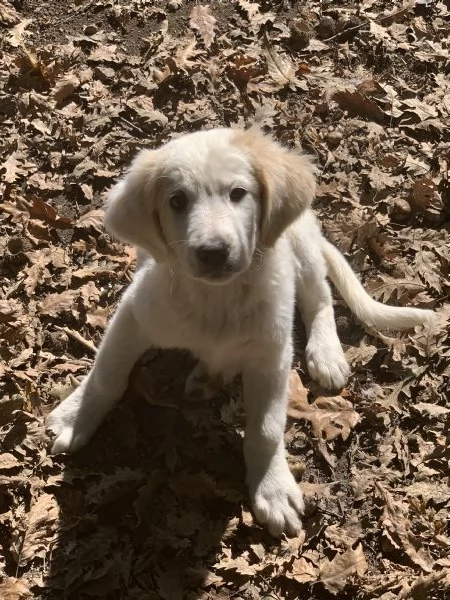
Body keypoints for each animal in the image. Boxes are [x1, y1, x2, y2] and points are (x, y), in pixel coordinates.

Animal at [47, 129, 434, 536]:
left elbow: (266, 429)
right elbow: (107, 375)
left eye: (238, 193)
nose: (213, 252)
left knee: (320, 298)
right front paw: (76, 417)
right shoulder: (134, 314)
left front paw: (272, 488)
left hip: (300, 244)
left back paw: (325, 353)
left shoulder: (271, 356)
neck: (218, 299)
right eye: (177, 201)